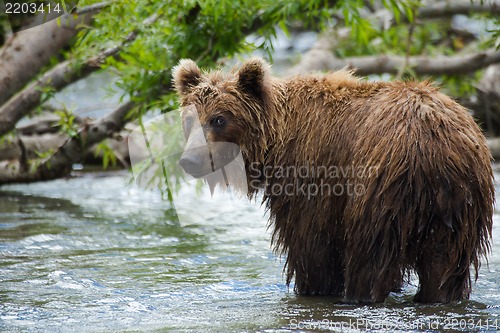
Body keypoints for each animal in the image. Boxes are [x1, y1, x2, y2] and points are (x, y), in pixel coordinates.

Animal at [174, 58, 494, 302]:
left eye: (219, 119)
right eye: (189, 120)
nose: (190, 161)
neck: (276, 141)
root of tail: (431, 147)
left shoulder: (311, 177)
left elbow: (311, 247)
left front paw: (313, 288)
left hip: (380, 189)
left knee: (370, 255)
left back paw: (360, 295)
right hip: (457, 204)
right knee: (443, 265)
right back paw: (437, 297)